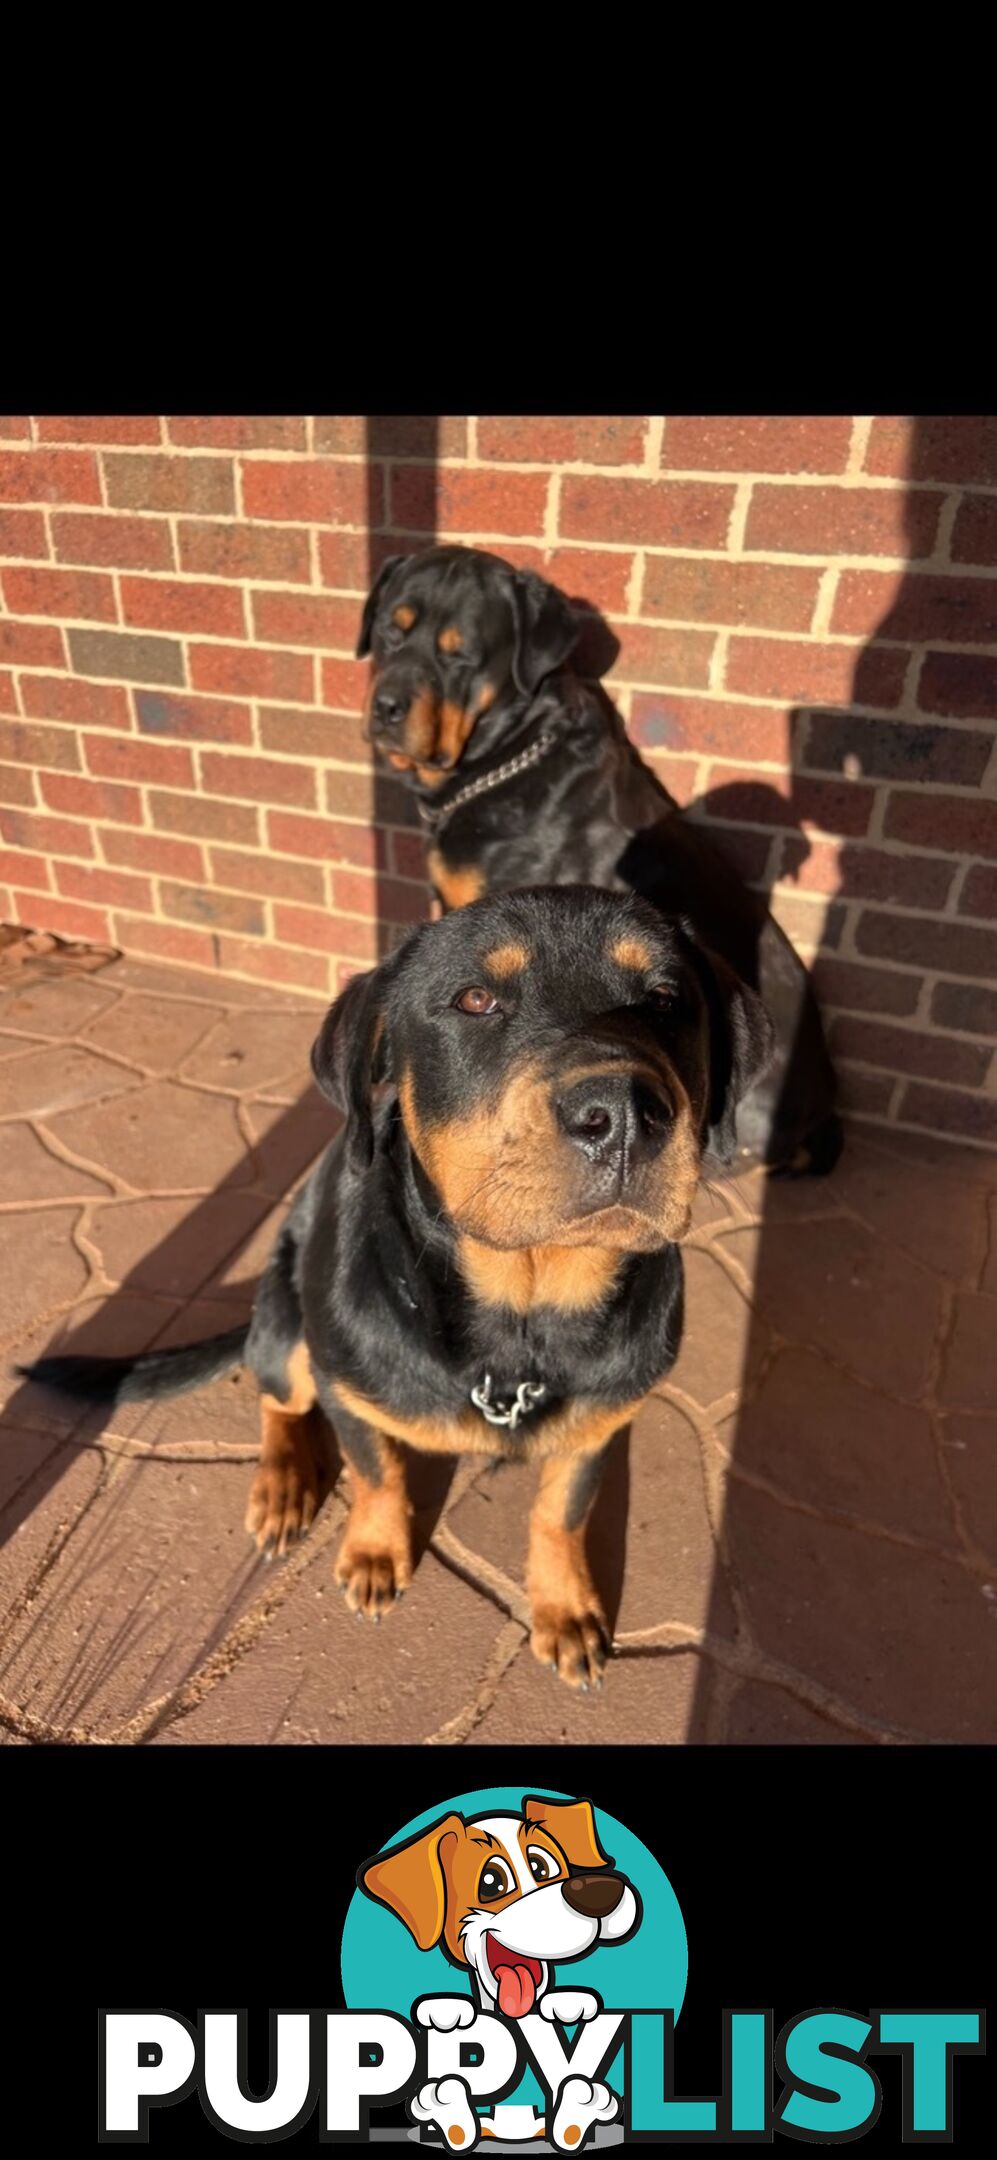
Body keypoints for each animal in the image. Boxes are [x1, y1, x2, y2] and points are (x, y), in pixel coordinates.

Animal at [21, 885, 772, 1693]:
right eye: (475, 999)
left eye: (666, 998)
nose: (625, 1115)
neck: (523, 1319)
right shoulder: (348, 1389)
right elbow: (377, 1472)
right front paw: (376, 1553)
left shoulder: (598, 1421)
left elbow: (560, 1512)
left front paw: (565, 1608)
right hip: (285, 1323)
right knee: (277, 1397)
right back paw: (283, 1485)